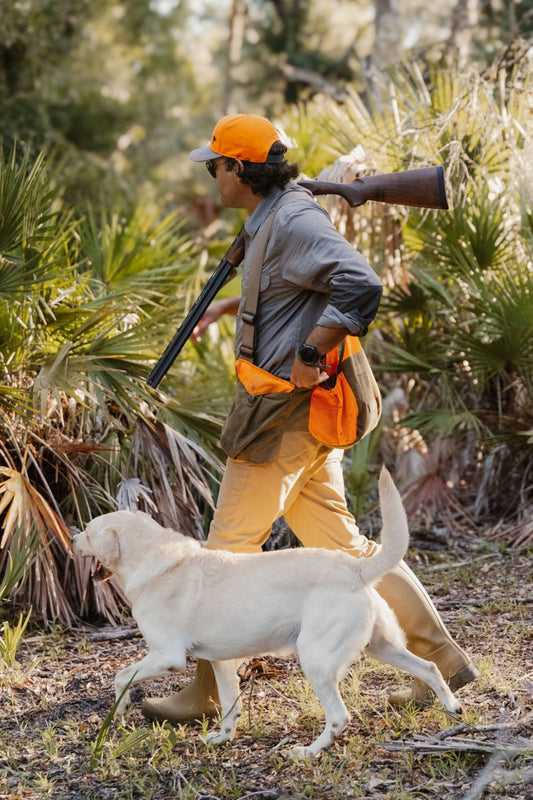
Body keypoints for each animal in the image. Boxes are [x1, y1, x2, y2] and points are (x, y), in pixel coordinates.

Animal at [72, 466, 460, 760]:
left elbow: (121, 676)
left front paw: (120, 712)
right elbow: (230, 703)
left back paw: (308, 751)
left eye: (89, 532)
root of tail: (355, 568)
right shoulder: (220, 661)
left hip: (316, 660)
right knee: (429, 667)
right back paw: (452, 707)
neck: (158, 561)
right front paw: (223, 738)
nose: (72, 539)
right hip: (381, 647)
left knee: (338, 717)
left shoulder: (167, 656)